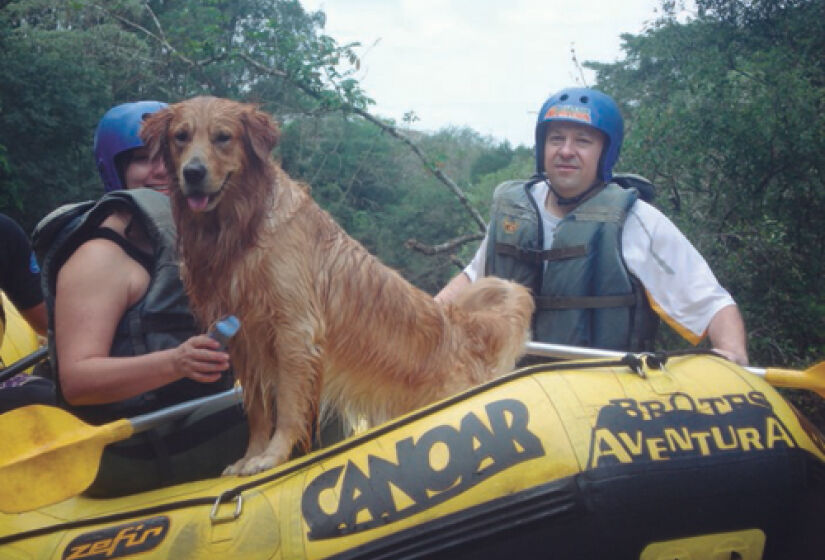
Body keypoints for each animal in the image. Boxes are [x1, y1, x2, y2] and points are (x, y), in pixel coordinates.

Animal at [140, 97, 536, 476]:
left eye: (223, 137)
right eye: (181, 136)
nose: (193, 173)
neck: (242, 229)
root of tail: (462, 330)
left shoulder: (295, 331)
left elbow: (288, 408)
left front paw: (271, 457)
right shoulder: (242, 341)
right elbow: (257, 412)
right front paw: (250, 457)